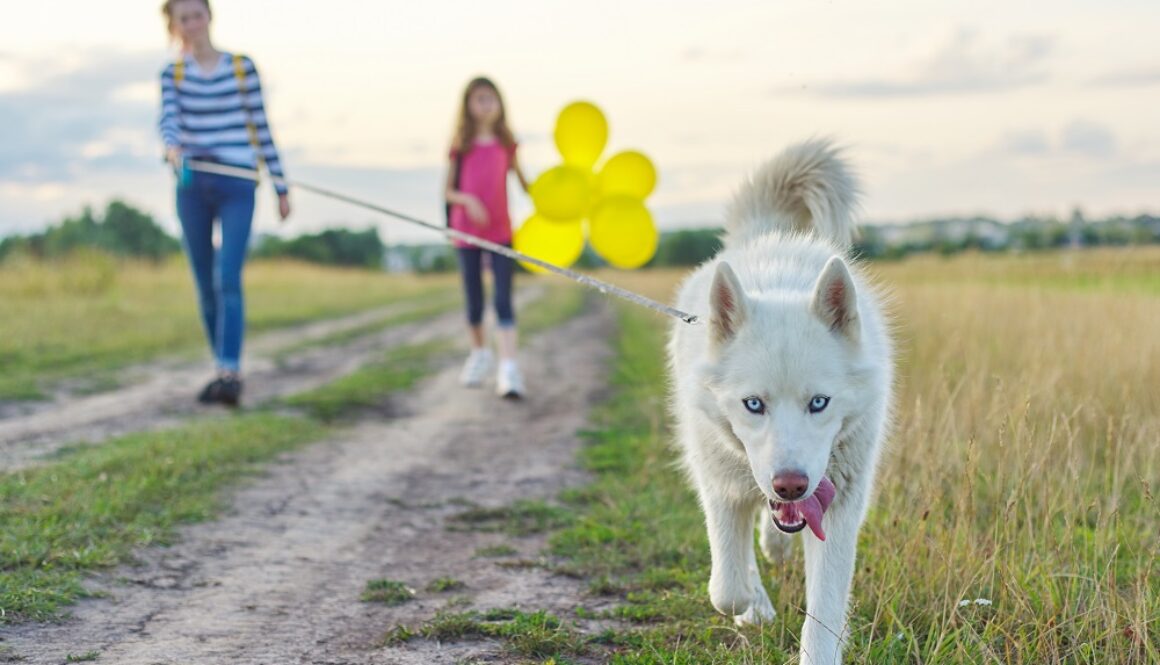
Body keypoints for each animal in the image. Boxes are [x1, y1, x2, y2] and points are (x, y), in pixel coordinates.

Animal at [668, 137, 890, 659]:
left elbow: (825, 613)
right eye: (754, 404)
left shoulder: (839, 506)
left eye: (819, 403)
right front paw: (751, 603)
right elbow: (726, 587)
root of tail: (767, 236)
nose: (790, 484)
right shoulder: (720, 485)